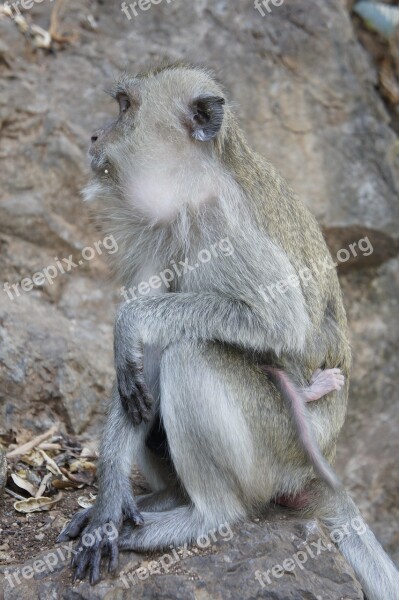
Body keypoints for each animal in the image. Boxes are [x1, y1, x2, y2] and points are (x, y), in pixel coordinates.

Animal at [57, 63, 399, 596]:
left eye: (124, 108)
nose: (95, 134)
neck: (194, 186)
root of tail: (316, 471)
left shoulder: (226, 224)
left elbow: (279, 323)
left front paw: (131, 321)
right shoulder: (157, 230)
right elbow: (138, 363)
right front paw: (108, 504)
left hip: (279, 450)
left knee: (191, 355)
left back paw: (205, 517)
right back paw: (161, 499)